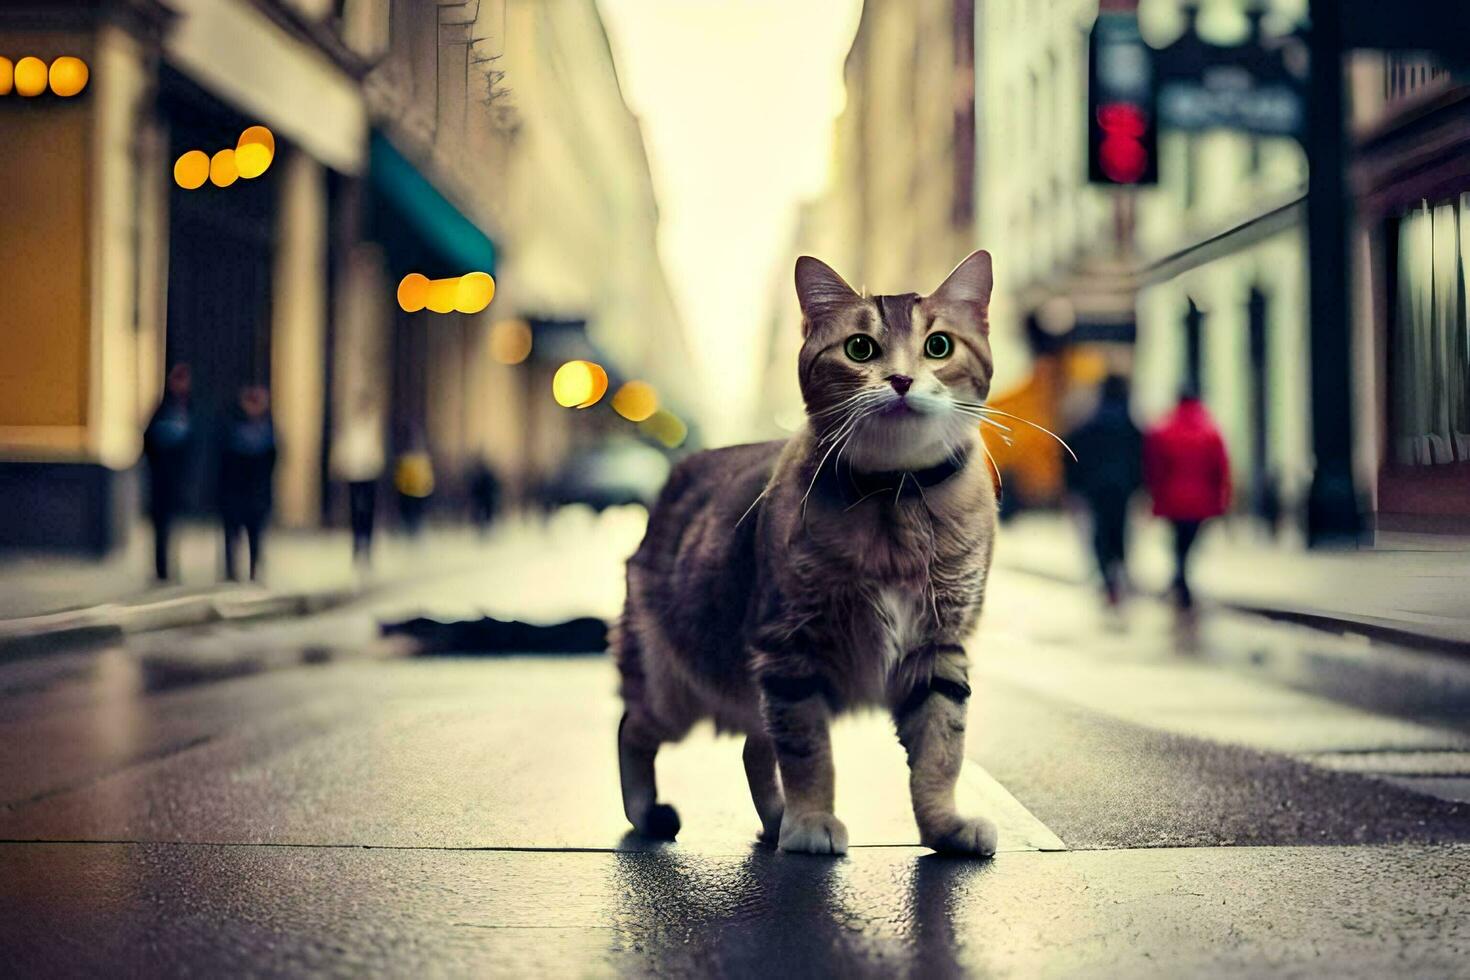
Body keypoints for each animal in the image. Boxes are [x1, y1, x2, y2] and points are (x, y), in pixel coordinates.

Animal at [614, 252, 1005, 858]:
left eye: (938, 346)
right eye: (860, 349)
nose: (900, 380)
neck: (893, 497)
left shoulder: (939, 649)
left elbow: (941, 751)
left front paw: (943, 826)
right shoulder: (790, 650)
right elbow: (808, 752)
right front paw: (813, 820)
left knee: (753, 746)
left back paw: (776, 820)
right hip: (672, 687)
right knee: (633, 727)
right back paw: (648, 813)